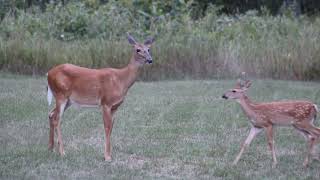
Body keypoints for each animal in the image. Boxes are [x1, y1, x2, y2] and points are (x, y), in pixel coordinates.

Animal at [46, 33, 155, 161]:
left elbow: (111, 128)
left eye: (149, 49)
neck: (121, 80)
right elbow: (107, 127)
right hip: (61, 94)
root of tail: (48, 74)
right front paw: (107, 156)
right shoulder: (105, 102)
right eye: (138, 49)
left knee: (51, 114)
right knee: (57, 119)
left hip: (68, 100)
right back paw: (62, 152)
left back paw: (50, 148)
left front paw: (109, 154)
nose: (150, 60)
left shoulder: (115, 106)